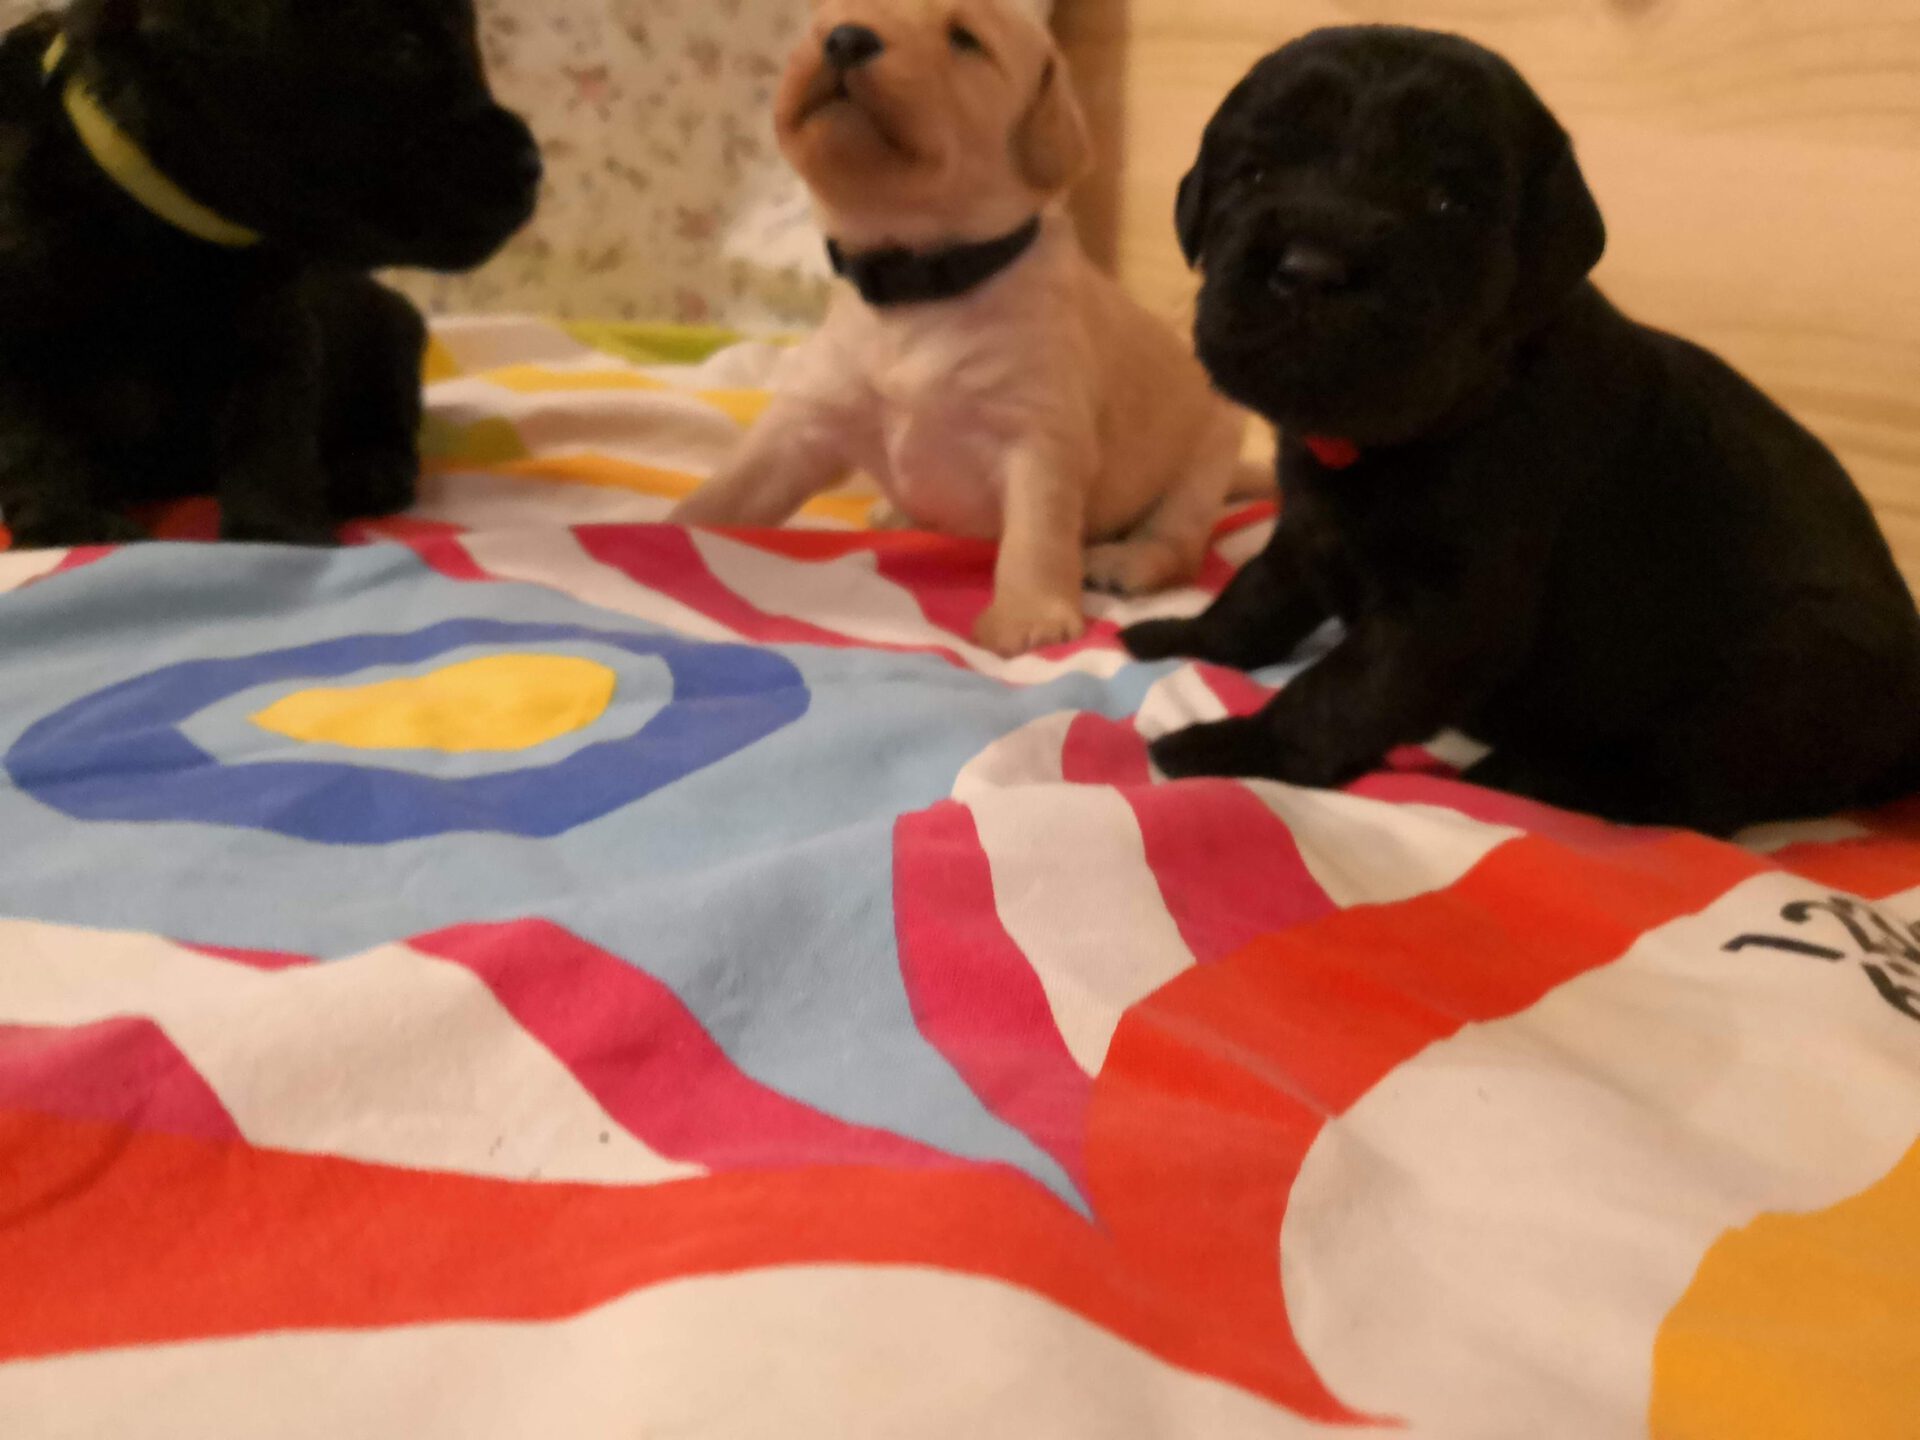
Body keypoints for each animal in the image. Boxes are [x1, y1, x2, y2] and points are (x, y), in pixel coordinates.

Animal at [0, 0, 541, 548]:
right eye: (406, 46)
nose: (533, 167)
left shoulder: (275, 330)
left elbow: (270, 430)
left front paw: (277, 531)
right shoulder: (20, 336)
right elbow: (36, 438)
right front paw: (73, 524)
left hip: (392, 335)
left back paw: (365, 473)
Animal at [671, 0, 1248, 657]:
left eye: (965, 39)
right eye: (834, 12)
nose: (845, 38)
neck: (917, 283)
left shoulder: (1039, 435)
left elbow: (1035, 536)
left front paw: (1029, 616)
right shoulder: (805, 423)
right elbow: (730, 489)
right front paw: (662, 528)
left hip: (1205, 461)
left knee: (1176, 543)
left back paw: (1126, 561)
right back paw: (896, 515)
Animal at [1122, 26, 1920, 835]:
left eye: (1448, 200)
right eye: (1253, 172)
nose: (1311, 270)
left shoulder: (1450, 611)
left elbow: (1343, 689)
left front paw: (1239, 744)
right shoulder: (1310, 528)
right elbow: (1258, 592)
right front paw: (1185, 634)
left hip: (1782, 674)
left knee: (1684, 787)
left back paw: (1529, 774)